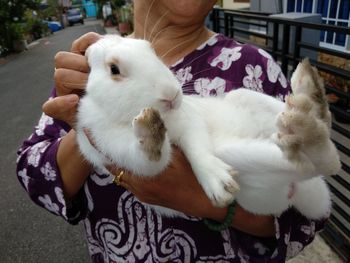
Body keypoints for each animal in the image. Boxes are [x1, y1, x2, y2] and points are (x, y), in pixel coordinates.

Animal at [76, 36, 340, 220]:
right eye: (114, 69)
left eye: (151, 49)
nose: (171, 95)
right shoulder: (108, 143)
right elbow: (148, 159)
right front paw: (149, 129)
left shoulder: (188, 122)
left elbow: (197, 149)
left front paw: (218, 183)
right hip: (247, 168)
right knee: (312, 164)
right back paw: (307, 131)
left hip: (246, 99)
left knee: (324, 140)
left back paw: (309, 90)